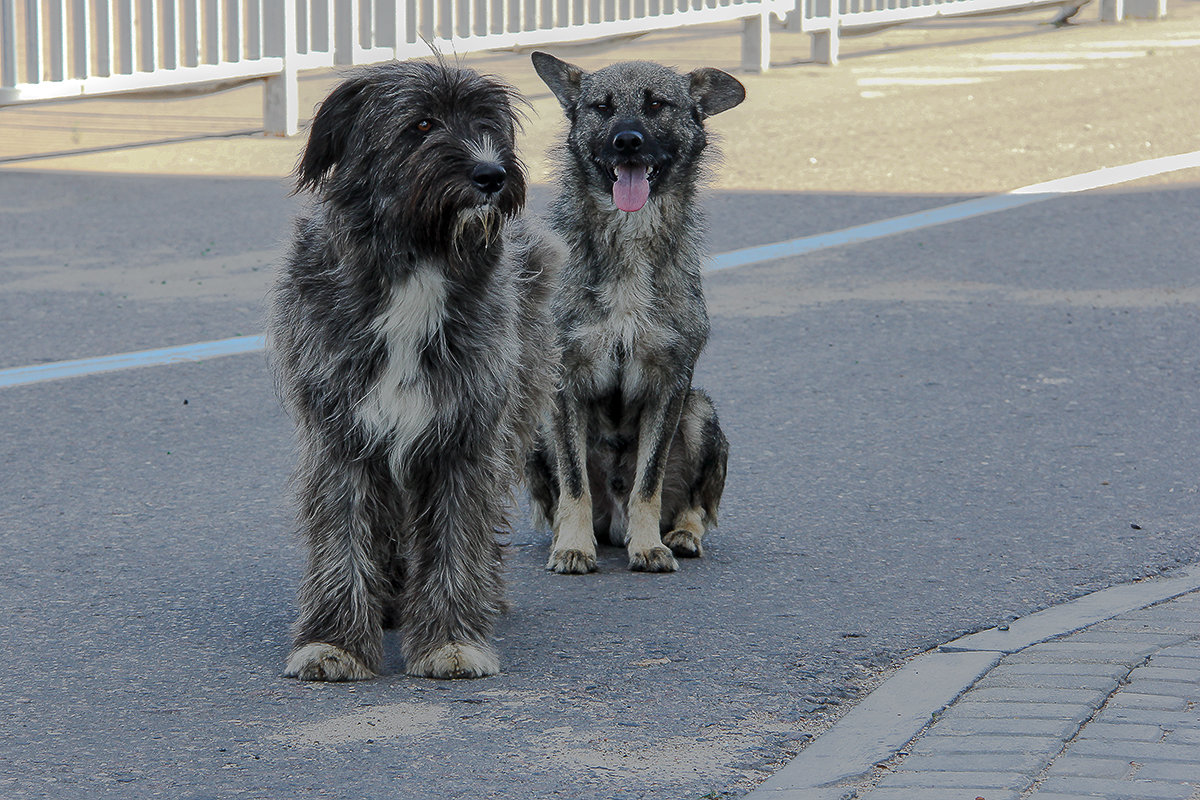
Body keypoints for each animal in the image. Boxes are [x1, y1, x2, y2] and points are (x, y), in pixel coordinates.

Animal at [270, 57, 559, 681]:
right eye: (422, 124)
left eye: (487, 123)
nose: (492, 174)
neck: (420, 262)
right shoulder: (342, 436)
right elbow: (343, 536)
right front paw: (334, 642)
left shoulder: (465, 435)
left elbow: (455, 537)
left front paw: (451, 639)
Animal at [525, 51, 739, 575]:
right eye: (601, 107)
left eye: (657, 104)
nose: (626, 141)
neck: (628, 238)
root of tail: (613, 521)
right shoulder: (563, 383)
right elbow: (574, 484)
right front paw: (573, 546)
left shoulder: (671, 383)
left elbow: (649, 480)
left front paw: (649, 546)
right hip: (536, 425)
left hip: (700, 410)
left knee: (693, 505)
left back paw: (680, 534)